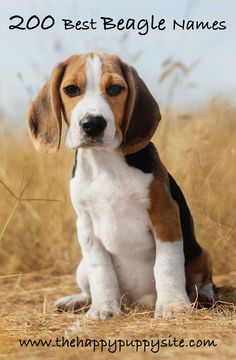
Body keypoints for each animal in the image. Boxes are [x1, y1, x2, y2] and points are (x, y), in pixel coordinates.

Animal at [28, 50, 214, 318]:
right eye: (71, 89)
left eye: (115, 88)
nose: (92, 124)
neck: (105, 163)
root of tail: (136, 301)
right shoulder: (85, 224)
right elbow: (101, 271)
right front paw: (103, 309)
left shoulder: (165, 213)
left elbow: (166, 264)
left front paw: (173, 305)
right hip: (81, 268)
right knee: (88, 286)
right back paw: (76, 300)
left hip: (200, 255)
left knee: (202, 280)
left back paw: (204, 296)